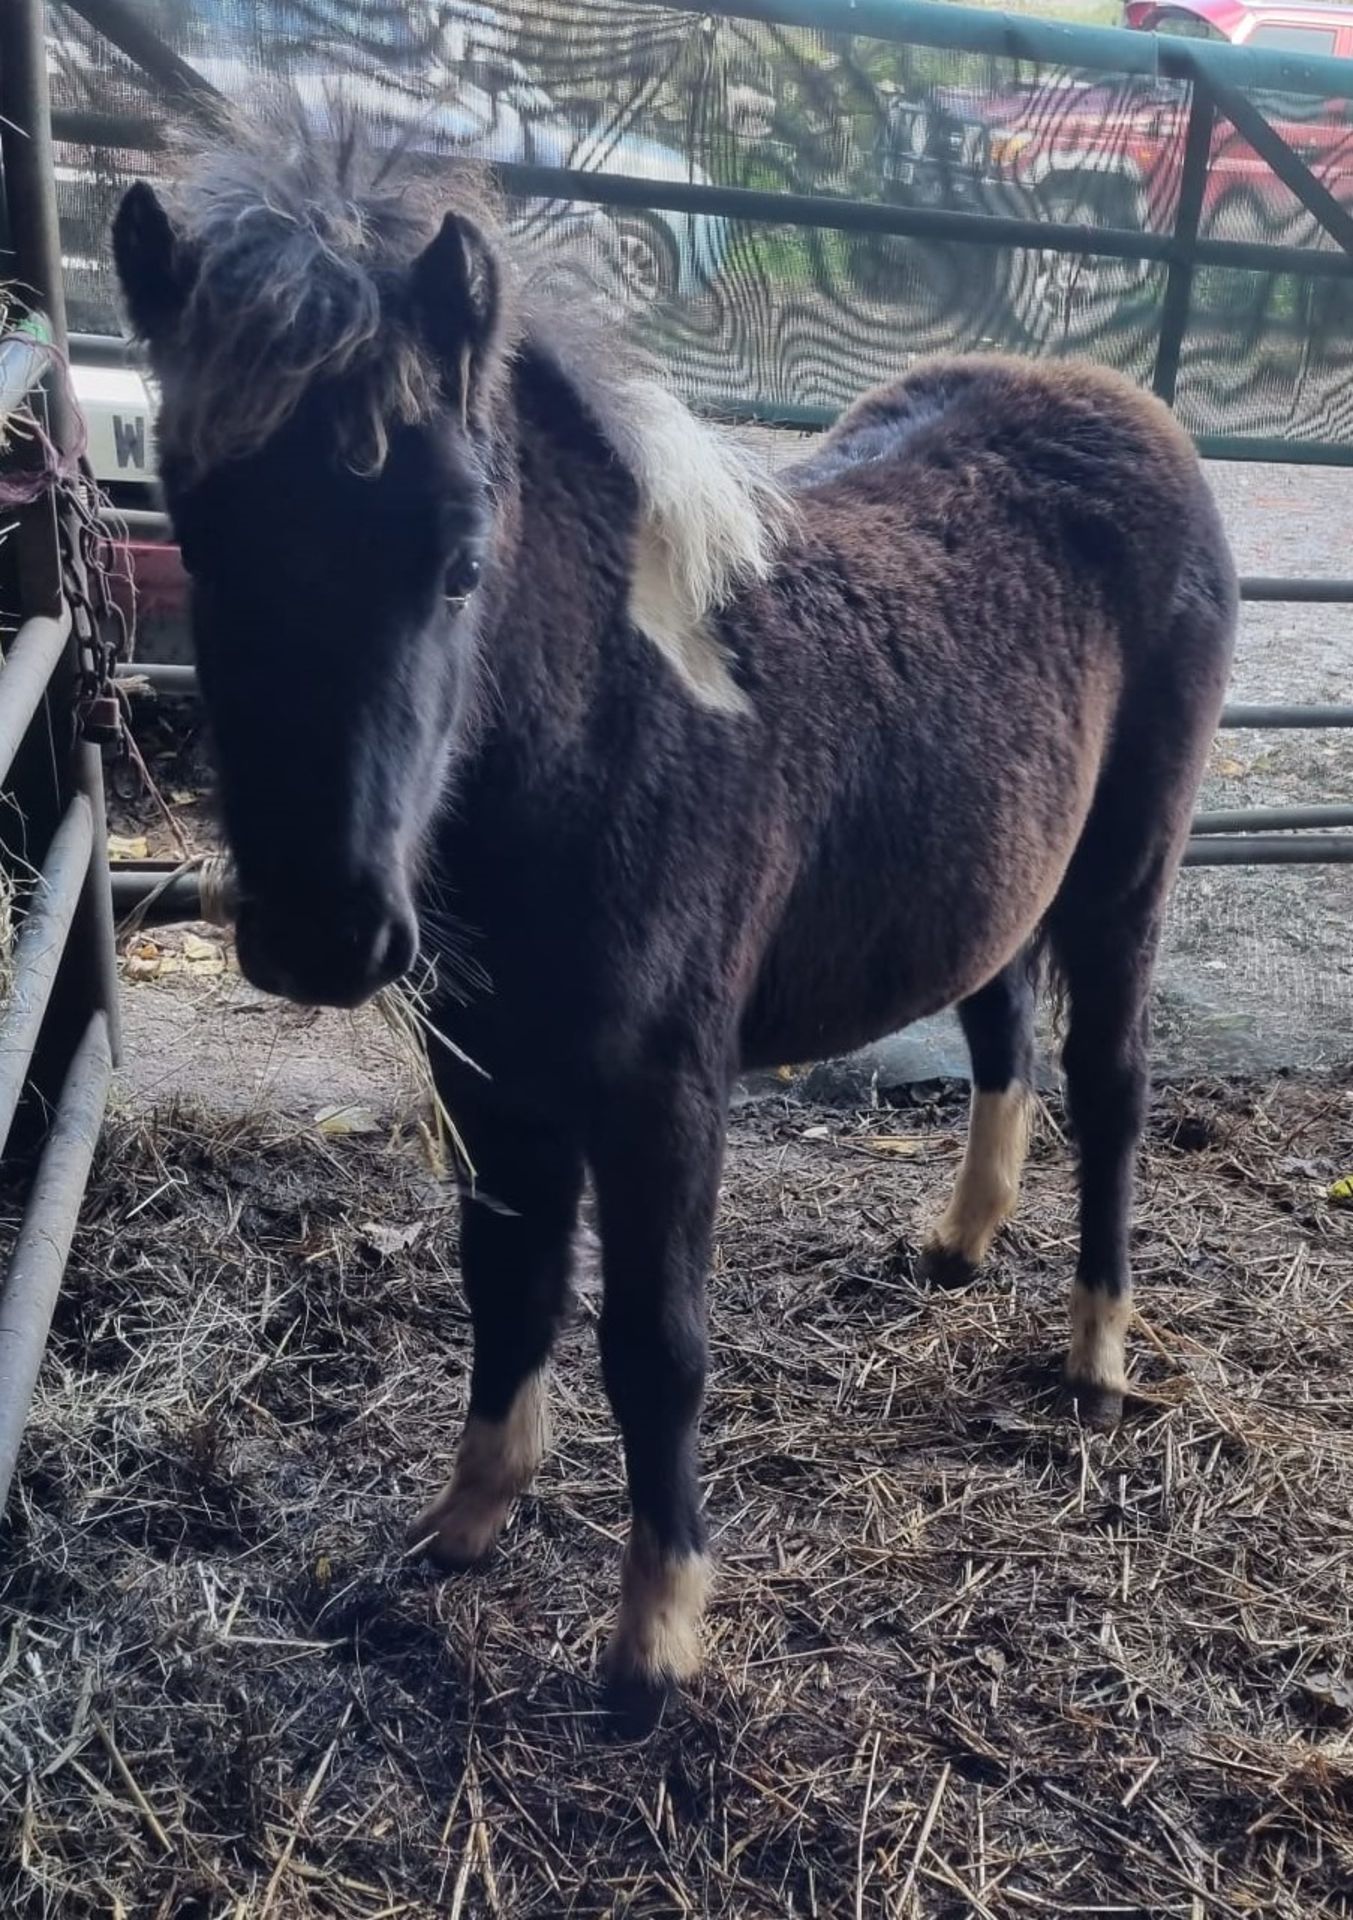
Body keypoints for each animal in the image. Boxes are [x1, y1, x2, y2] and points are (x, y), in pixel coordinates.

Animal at [116, 112, 1235, 1735]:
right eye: (198, 540)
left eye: (459, 560)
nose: (323, 934)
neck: (605, 732)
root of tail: (1121, 399)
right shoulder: (485, 1067)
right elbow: (505, 1281)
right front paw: (467, 1521)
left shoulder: (662, 1088)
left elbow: (656, 1345)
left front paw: (655, 1645)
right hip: (992, 871)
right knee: (1000, 1028)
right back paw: (959, 1242)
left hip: (1126, 872)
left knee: (1114, 1085)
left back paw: (1096, 1356)